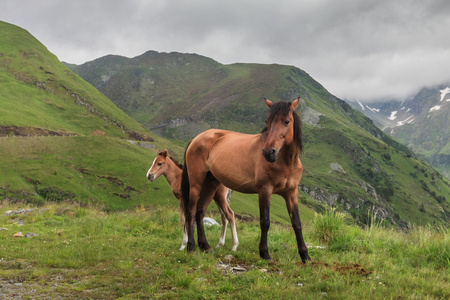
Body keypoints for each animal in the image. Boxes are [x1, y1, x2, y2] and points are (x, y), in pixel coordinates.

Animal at [181, 98, 312, 262]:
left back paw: (205, 246)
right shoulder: (265, 190)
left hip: (211, 184)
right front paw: (265, 253)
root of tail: (196, 138)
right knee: (191, 211)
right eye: (267, 121)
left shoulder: (292, 193)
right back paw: (191, 247)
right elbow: (265, 221)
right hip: (196, 183)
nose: (268, 152)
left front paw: (305, 255)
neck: (286, 162)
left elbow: (296, 223)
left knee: (200, 211)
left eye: (286, 121)